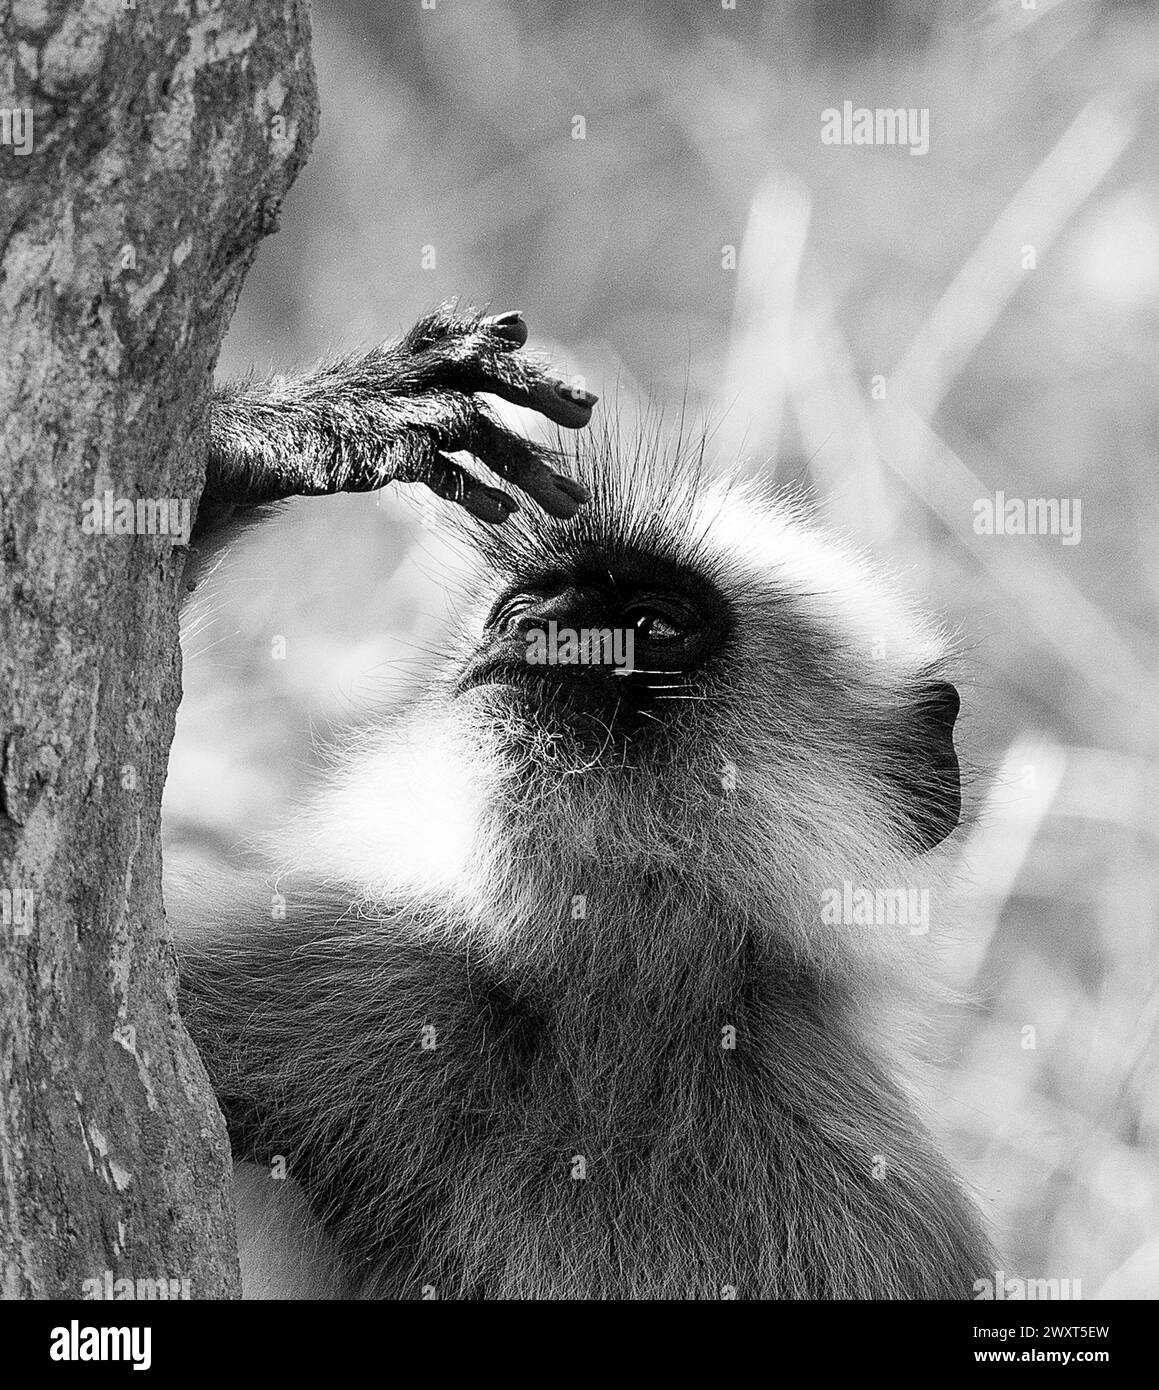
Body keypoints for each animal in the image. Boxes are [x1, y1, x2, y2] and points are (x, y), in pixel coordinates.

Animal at [176, 301, 989, 1289]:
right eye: (523, 606)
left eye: (652, 624)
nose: (537, 630)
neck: (614, 1037)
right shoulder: (359, 973)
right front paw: (279, 436)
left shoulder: (888, 1198)